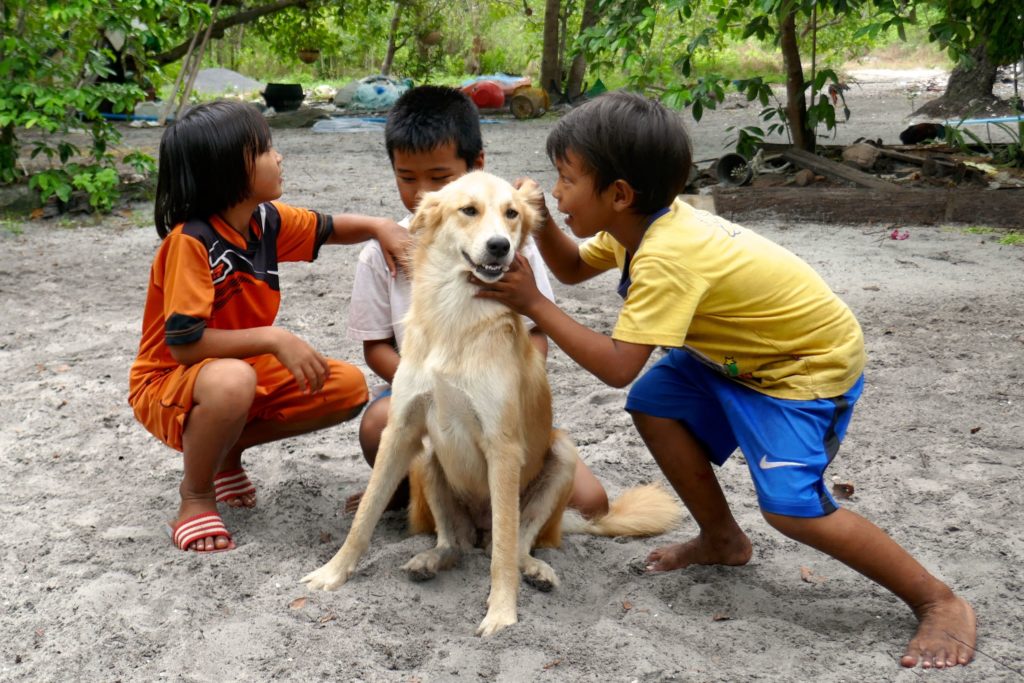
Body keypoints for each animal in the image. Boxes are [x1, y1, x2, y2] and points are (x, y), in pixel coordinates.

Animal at [299, 171, 679, 634]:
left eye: (512, 213)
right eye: (469, 210)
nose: (500, 246)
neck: (456, 318)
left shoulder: (503, 447)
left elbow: (503, 550)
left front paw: (501, 613)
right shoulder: (402, 429)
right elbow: (365, 514)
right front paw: (332, 572)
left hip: (561, 456)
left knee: (513, 545)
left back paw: (535, 570)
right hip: (426, 458)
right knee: (455, 543)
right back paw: (431, 559)